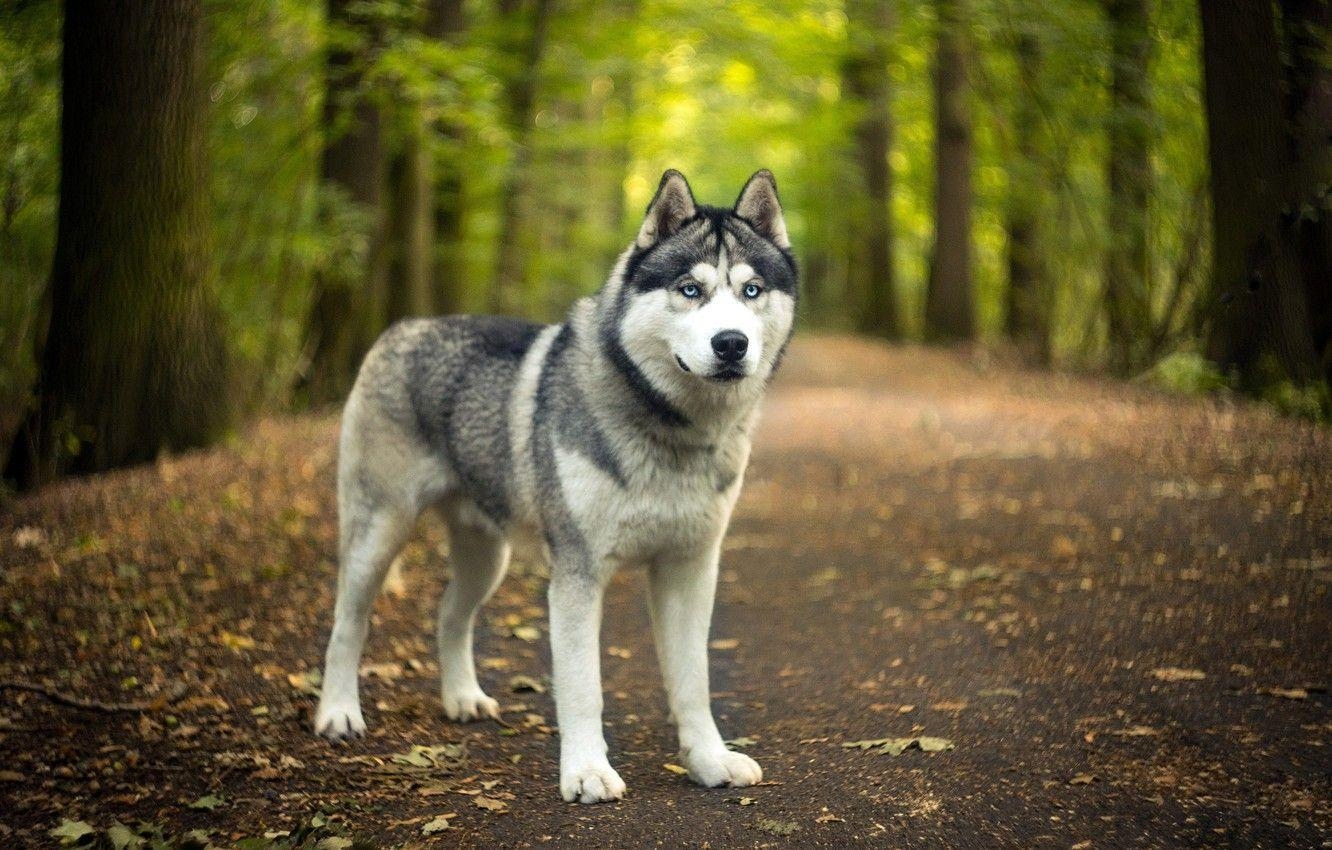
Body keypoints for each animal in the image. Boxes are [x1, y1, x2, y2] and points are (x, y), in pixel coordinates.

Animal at [315, 169, 793, 804]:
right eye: (690, 290)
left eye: (752, 290)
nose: (731, 343)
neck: (672, 431)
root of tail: (404, 326)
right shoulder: (577, 574)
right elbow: (583, 687)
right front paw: (587, 772)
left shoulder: (691, 568)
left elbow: (694, 681)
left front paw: (709, 762)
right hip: (378, 532)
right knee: (348, 623)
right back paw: (338, 713)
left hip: (486, 556)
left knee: (449, 614)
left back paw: (462, 698)